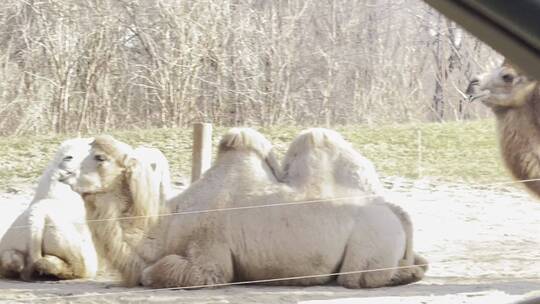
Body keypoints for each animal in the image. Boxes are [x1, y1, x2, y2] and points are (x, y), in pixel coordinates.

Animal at [63, 129, 426, 290]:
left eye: (99, 157)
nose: (63, 170)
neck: (166, 225)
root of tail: (392, 209)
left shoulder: (210, 258)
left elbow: (153, 273)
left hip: (370, 245)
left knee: (360, 278)